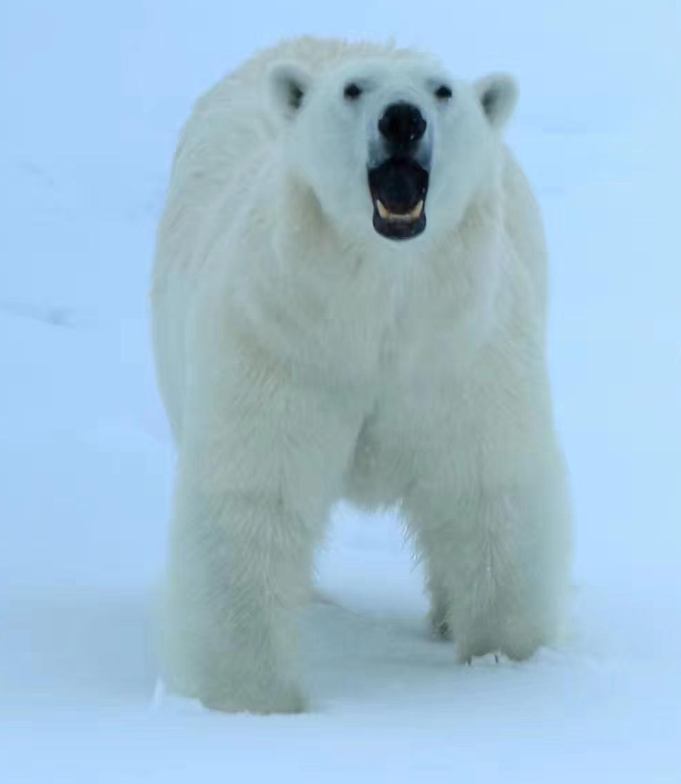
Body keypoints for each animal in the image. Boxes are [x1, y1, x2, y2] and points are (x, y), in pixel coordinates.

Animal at [151, 36, 572, 712]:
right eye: (352, 90)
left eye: (442, 91)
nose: (402, 120)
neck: (380, 300)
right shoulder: (281, 342)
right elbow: (254, 500)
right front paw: (252, 700)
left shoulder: (460, 353)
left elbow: (488, 490)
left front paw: (505, 664)